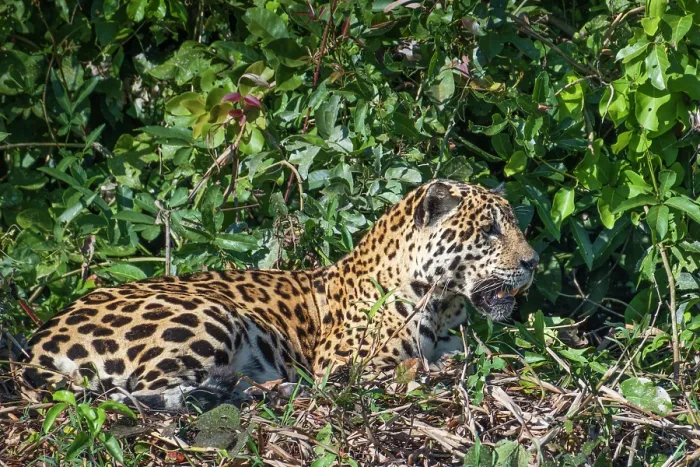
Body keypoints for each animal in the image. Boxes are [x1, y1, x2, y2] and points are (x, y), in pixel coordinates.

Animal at [19, 179, 539, 411]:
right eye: (489, 231)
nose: (533, 263)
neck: (442, 304)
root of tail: (34, 349)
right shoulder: (348, 365)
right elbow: (413, 368)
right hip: (209, 313)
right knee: (148, 389)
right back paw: (270, 389)